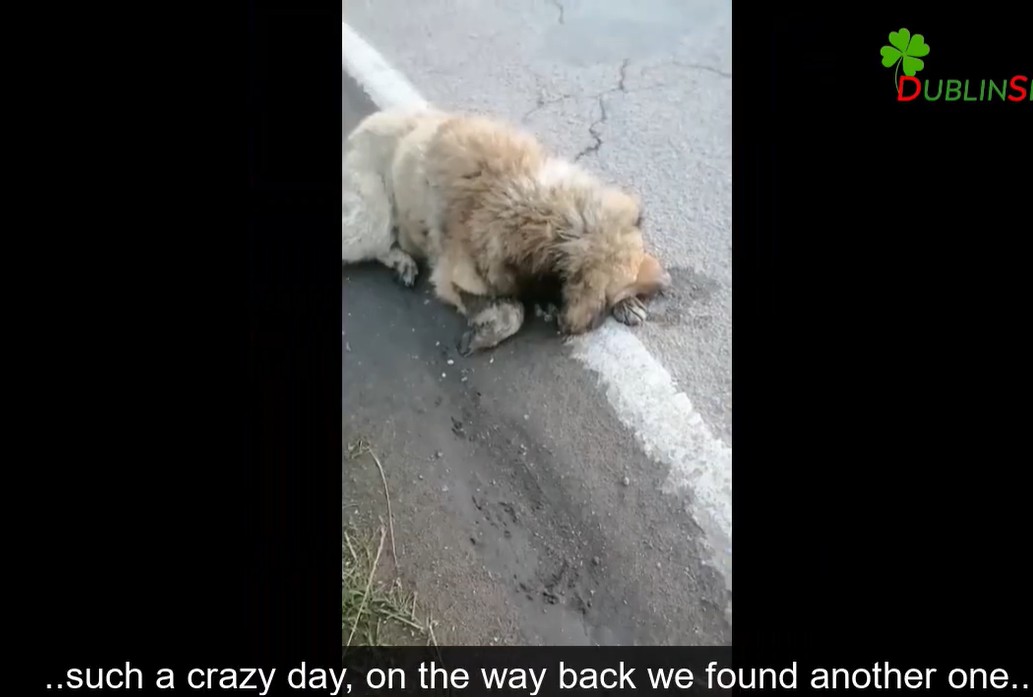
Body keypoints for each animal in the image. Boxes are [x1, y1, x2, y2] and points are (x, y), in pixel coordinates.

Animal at [342, 105, 671, 355]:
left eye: (643, 251)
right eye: (620, 287)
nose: (667, 282)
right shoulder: (453, 278)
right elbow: (513, 312)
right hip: (371, 218)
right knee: (376, 242)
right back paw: (402, 261)